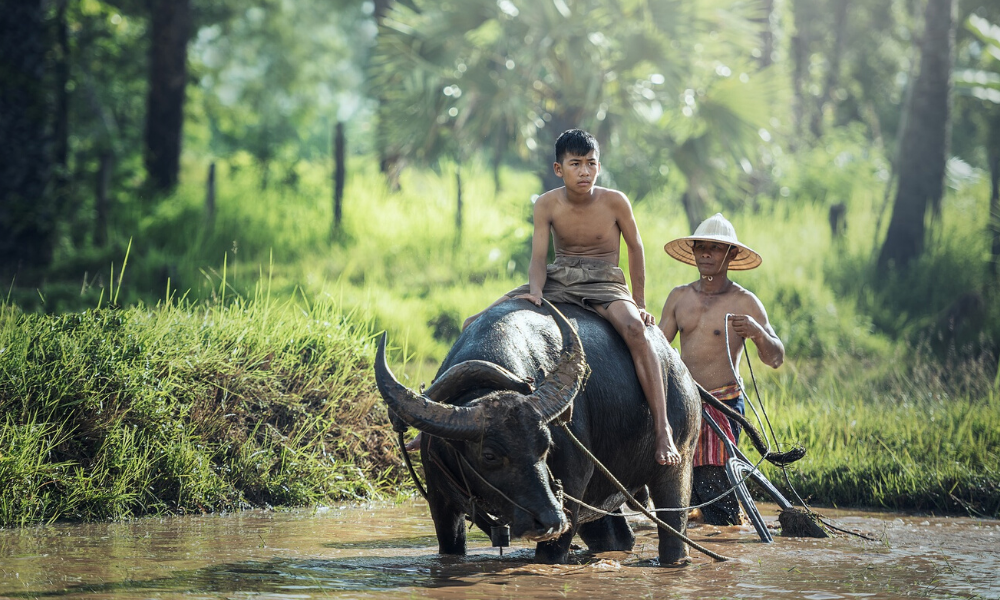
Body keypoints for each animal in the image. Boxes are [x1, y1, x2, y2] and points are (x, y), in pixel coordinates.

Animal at [376, 300, 788, 568]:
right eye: (489, 455)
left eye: (545, 446)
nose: (549, 520)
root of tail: (680, 369)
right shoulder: (441, 504)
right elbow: (450, 546)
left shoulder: (570, 491)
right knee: (617, 537)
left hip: (679, 463)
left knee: (674, 531)